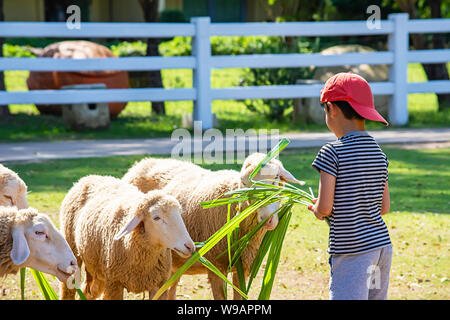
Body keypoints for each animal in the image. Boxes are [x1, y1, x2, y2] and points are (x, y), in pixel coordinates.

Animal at [59, 175, 194, 300]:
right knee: (68, 290)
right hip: (71, 249)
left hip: (98, 270)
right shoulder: (114, 284)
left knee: (89, 291)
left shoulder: (158, 285)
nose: (190, 246)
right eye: (156, 217)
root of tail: (89, 177)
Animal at [122, 152, 302, 300]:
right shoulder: (216, 266)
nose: (267, 218)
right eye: (245, 184)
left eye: (276, 178)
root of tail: (142, 162)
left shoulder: (243, 268)